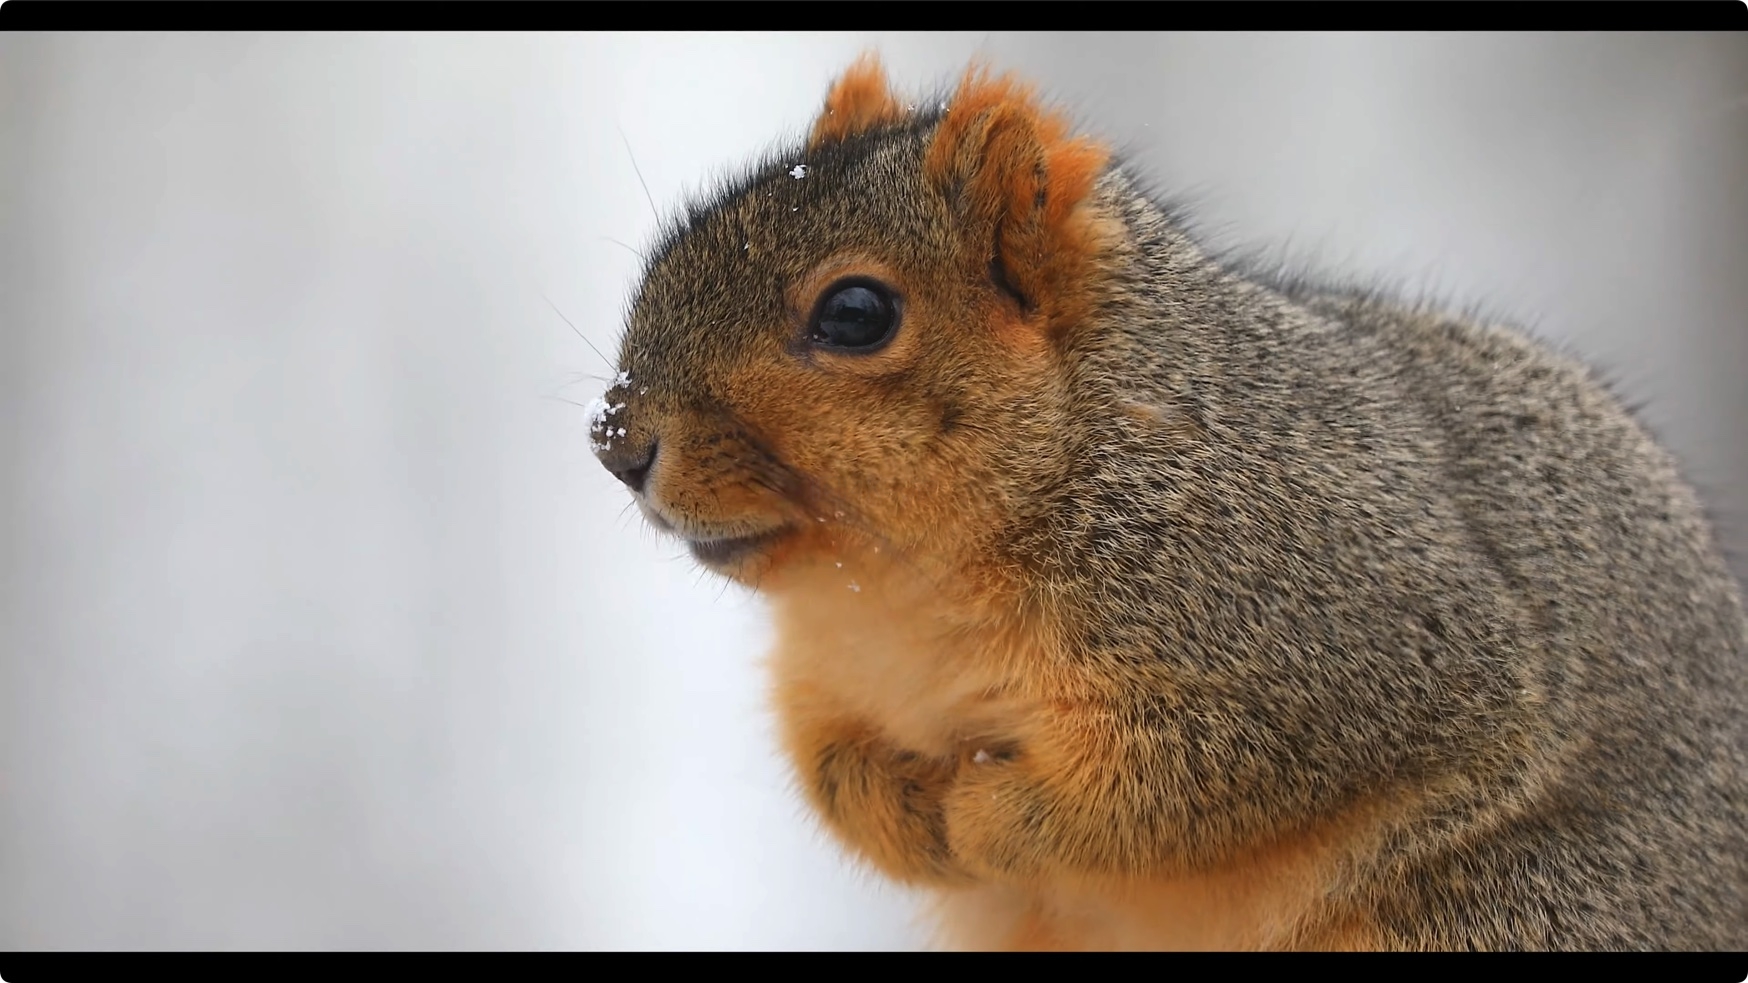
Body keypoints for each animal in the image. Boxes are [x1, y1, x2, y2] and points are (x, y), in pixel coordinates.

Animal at [589, 55, 1748, 950]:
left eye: (856, 313)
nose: (616, 442)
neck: (895, 587)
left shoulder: (1329, 618)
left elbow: (1179, 778)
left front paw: (989, 810)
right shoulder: (828, 674)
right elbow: (829, 763)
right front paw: (900, 811)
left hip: (1505, 907)